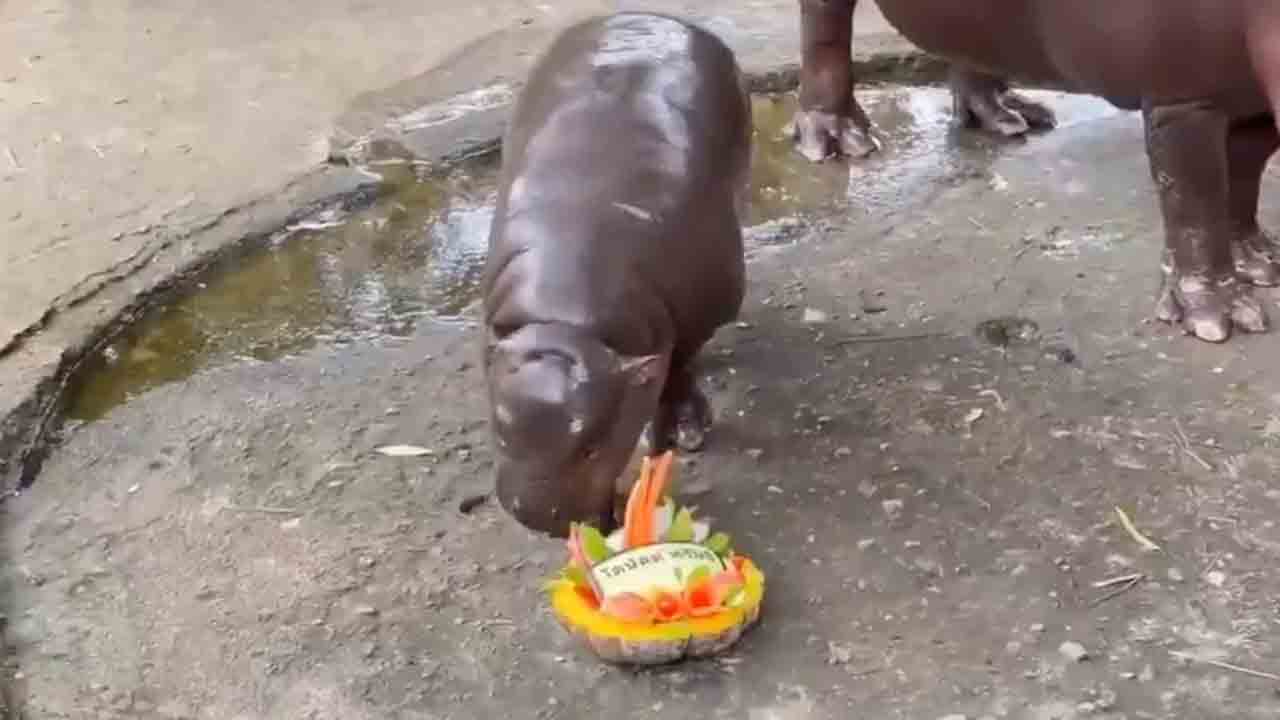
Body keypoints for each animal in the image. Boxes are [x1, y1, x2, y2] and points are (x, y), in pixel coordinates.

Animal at [481, 12, 752, 537]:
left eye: (592, 446)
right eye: (502, 434)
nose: (536, 517)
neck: (566, 320)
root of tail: (652, 14)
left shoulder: (694, 317)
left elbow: (680, 366)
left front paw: (681, 434)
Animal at [793, 0, 1280, 343]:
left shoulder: (1250, 92)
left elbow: (1242, 174)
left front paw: (1262, 262)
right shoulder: (1179, 96)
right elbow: (1195, 196)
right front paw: (1219, 319)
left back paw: (1010, 117)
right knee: (824, 27)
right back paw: (838, 142)